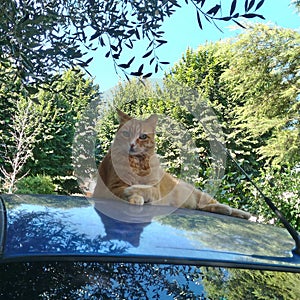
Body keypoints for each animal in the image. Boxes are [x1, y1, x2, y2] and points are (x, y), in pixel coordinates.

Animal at [93, 109, 251, 219]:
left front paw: (134, 192)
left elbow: (145, 189)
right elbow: (123, 191)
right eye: (126, 134)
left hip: (201, 195)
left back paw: (242, 213)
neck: (138, 163)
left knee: (212, 203)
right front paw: (134, 197)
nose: (131, 144)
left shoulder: (155, 190)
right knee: (203, 207)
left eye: (142, 136)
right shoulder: (111, 187)